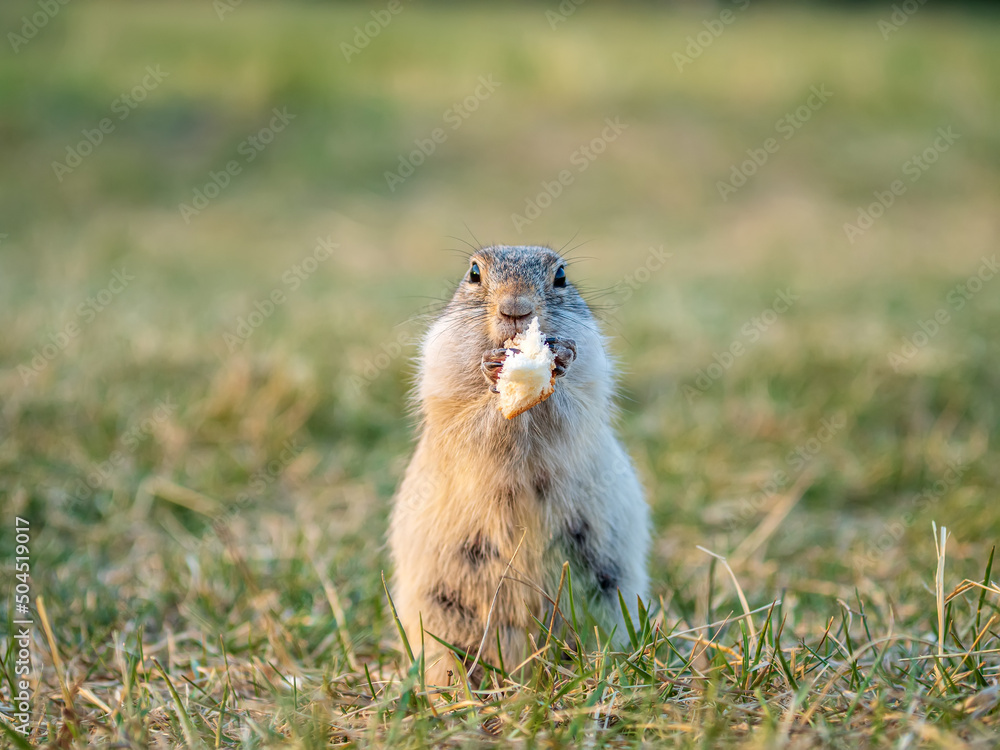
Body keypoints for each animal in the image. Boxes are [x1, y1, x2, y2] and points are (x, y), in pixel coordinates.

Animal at [386, 245, 652, 688]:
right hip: (439, 610)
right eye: (474, 273)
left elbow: (573, 405)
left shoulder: (593, 380)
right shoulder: (441, 377)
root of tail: (521, 665)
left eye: (560, 276)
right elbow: (467, 417)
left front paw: (559, 359)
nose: (516, 309)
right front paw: (492, 369)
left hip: (609, 594)